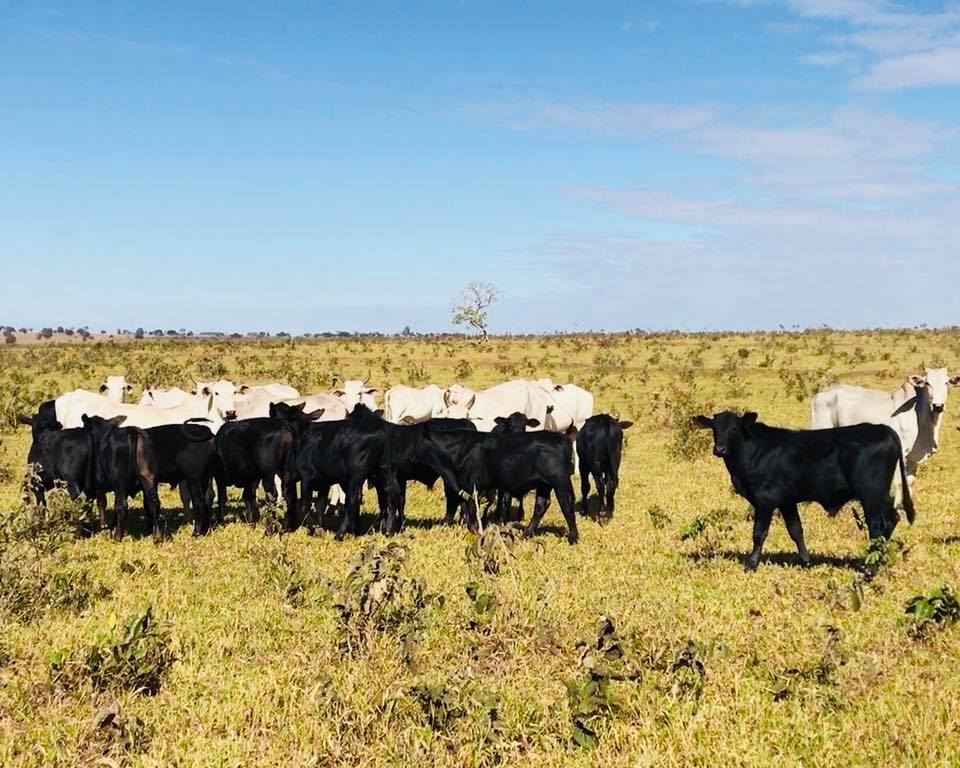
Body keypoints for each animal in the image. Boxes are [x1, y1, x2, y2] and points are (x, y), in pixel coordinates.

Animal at [692, 412, 912, 568]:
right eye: (714, 428)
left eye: (734, 429)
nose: (719, 449)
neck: (752, 449)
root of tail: (883, 429)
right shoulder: (786, 501)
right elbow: (796, 530)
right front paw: (806, 561)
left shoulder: (765, 501)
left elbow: (759, 533)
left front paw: (751, 563)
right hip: (882, 496)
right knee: (891, 520)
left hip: (870, 495)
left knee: (877, 526)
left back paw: (869, 567)